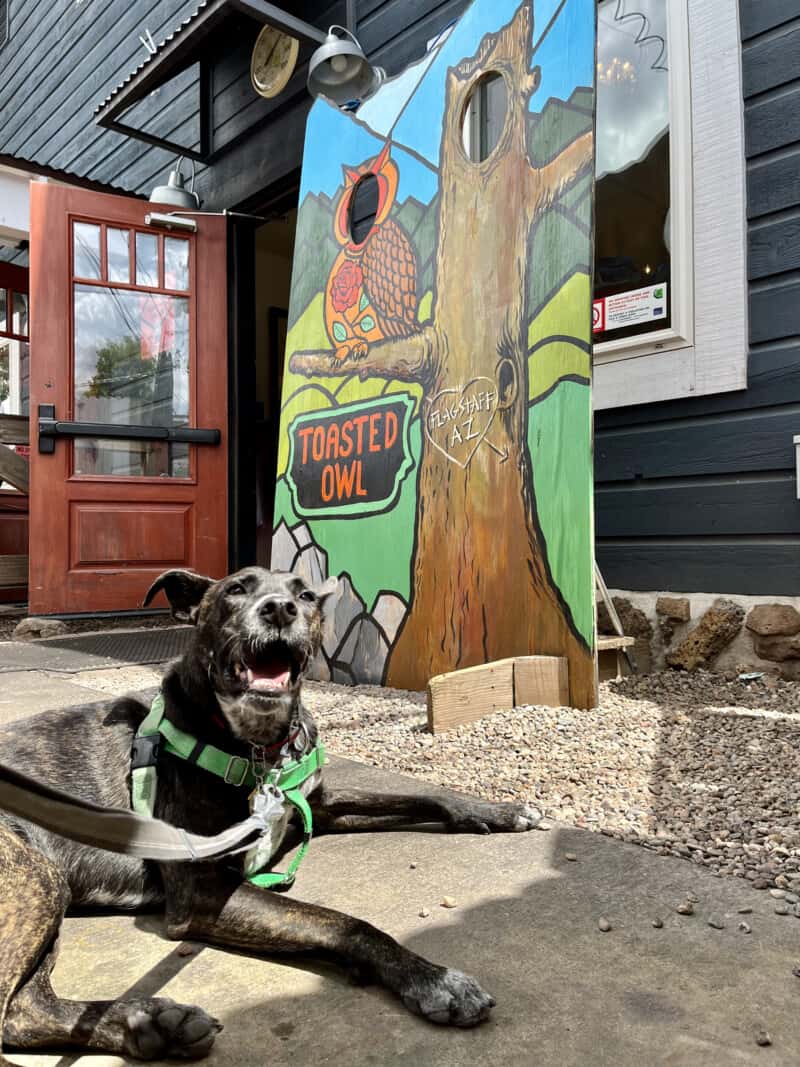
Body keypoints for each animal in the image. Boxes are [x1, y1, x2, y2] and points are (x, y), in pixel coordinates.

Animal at [0, 567, 541, 1058]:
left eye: (305, 595)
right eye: (236, 589)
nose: (280, 609)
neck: (259, 747)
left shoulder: (317, 807)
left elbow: (423, 799)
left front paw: (497, 809)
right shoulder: (203, 892)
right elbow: (342, 922)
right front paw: (432, 979)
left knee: (26, 1010)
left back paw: (151, 1026)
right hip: (36, 875)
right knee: (11, 1012)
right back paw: (151, 1020)